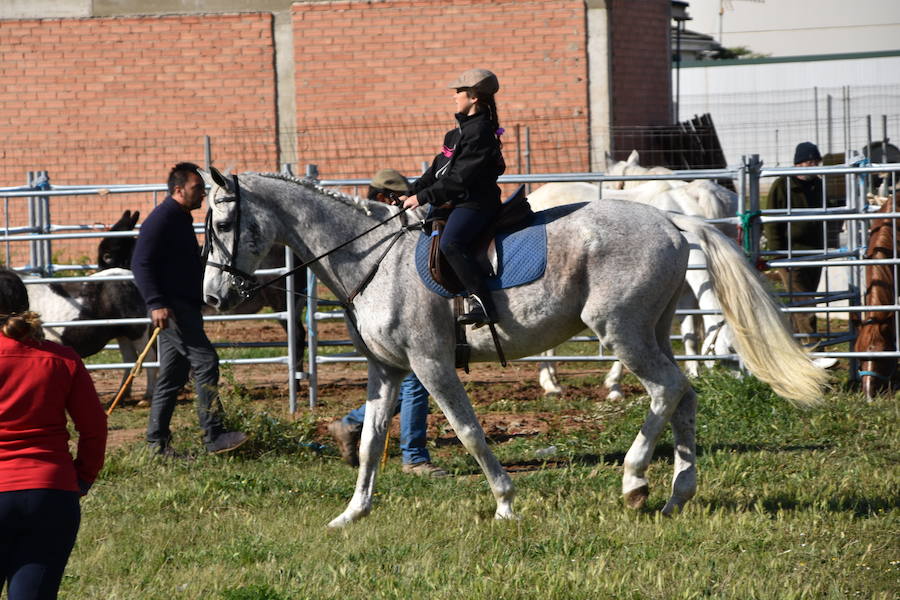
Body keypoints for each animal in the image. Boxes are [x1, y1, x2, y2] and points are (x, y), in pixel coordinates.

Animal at [528, 178, 740, 398]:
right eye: (732, 349)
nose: (742, 384)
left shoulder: (685, 296)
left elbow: (690, 337)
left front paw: (694, 374)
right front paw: (614, 387)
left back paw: (552, 381)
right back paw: (550, 384)